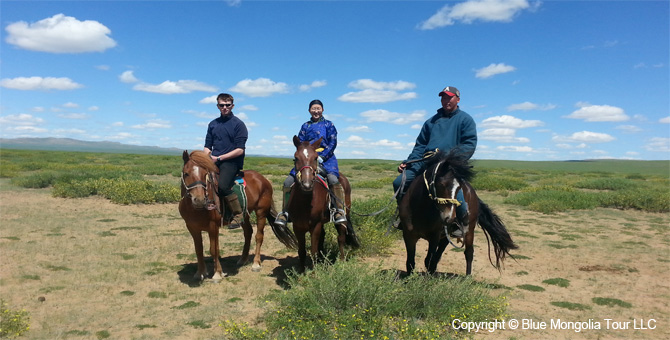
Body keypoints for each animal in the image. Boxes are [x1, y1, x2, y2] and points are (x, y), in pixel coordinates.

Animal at [178, 151, 296, 282]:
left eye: (205, 174)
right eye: (186, 173)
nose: (199, 200)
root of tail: (262, 179)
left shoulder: (213, 227)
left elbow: (214, 250)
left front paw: (217, 274)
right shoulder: (192, 228)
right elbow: (199, 249)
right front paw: (200, 273)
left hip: (261, 212)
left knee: (259, 236)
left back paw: (256, 263)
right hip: (244, 215)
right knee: (248, 232)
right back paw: (243, 259)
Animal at [290, 137, 362, 272]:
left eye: (315, 158)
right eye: (296, 157)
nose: (306, 184)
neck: (305, 203)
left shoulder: (315, 226)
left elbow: (313, 252)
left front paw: (314, 273)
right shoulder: (297, 227)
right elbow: (302, 251)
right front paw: (301, 273)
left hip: (343, 216)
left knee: (341, 237)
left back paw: (341, 261)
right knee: (323, 238)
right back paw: (322, 258)